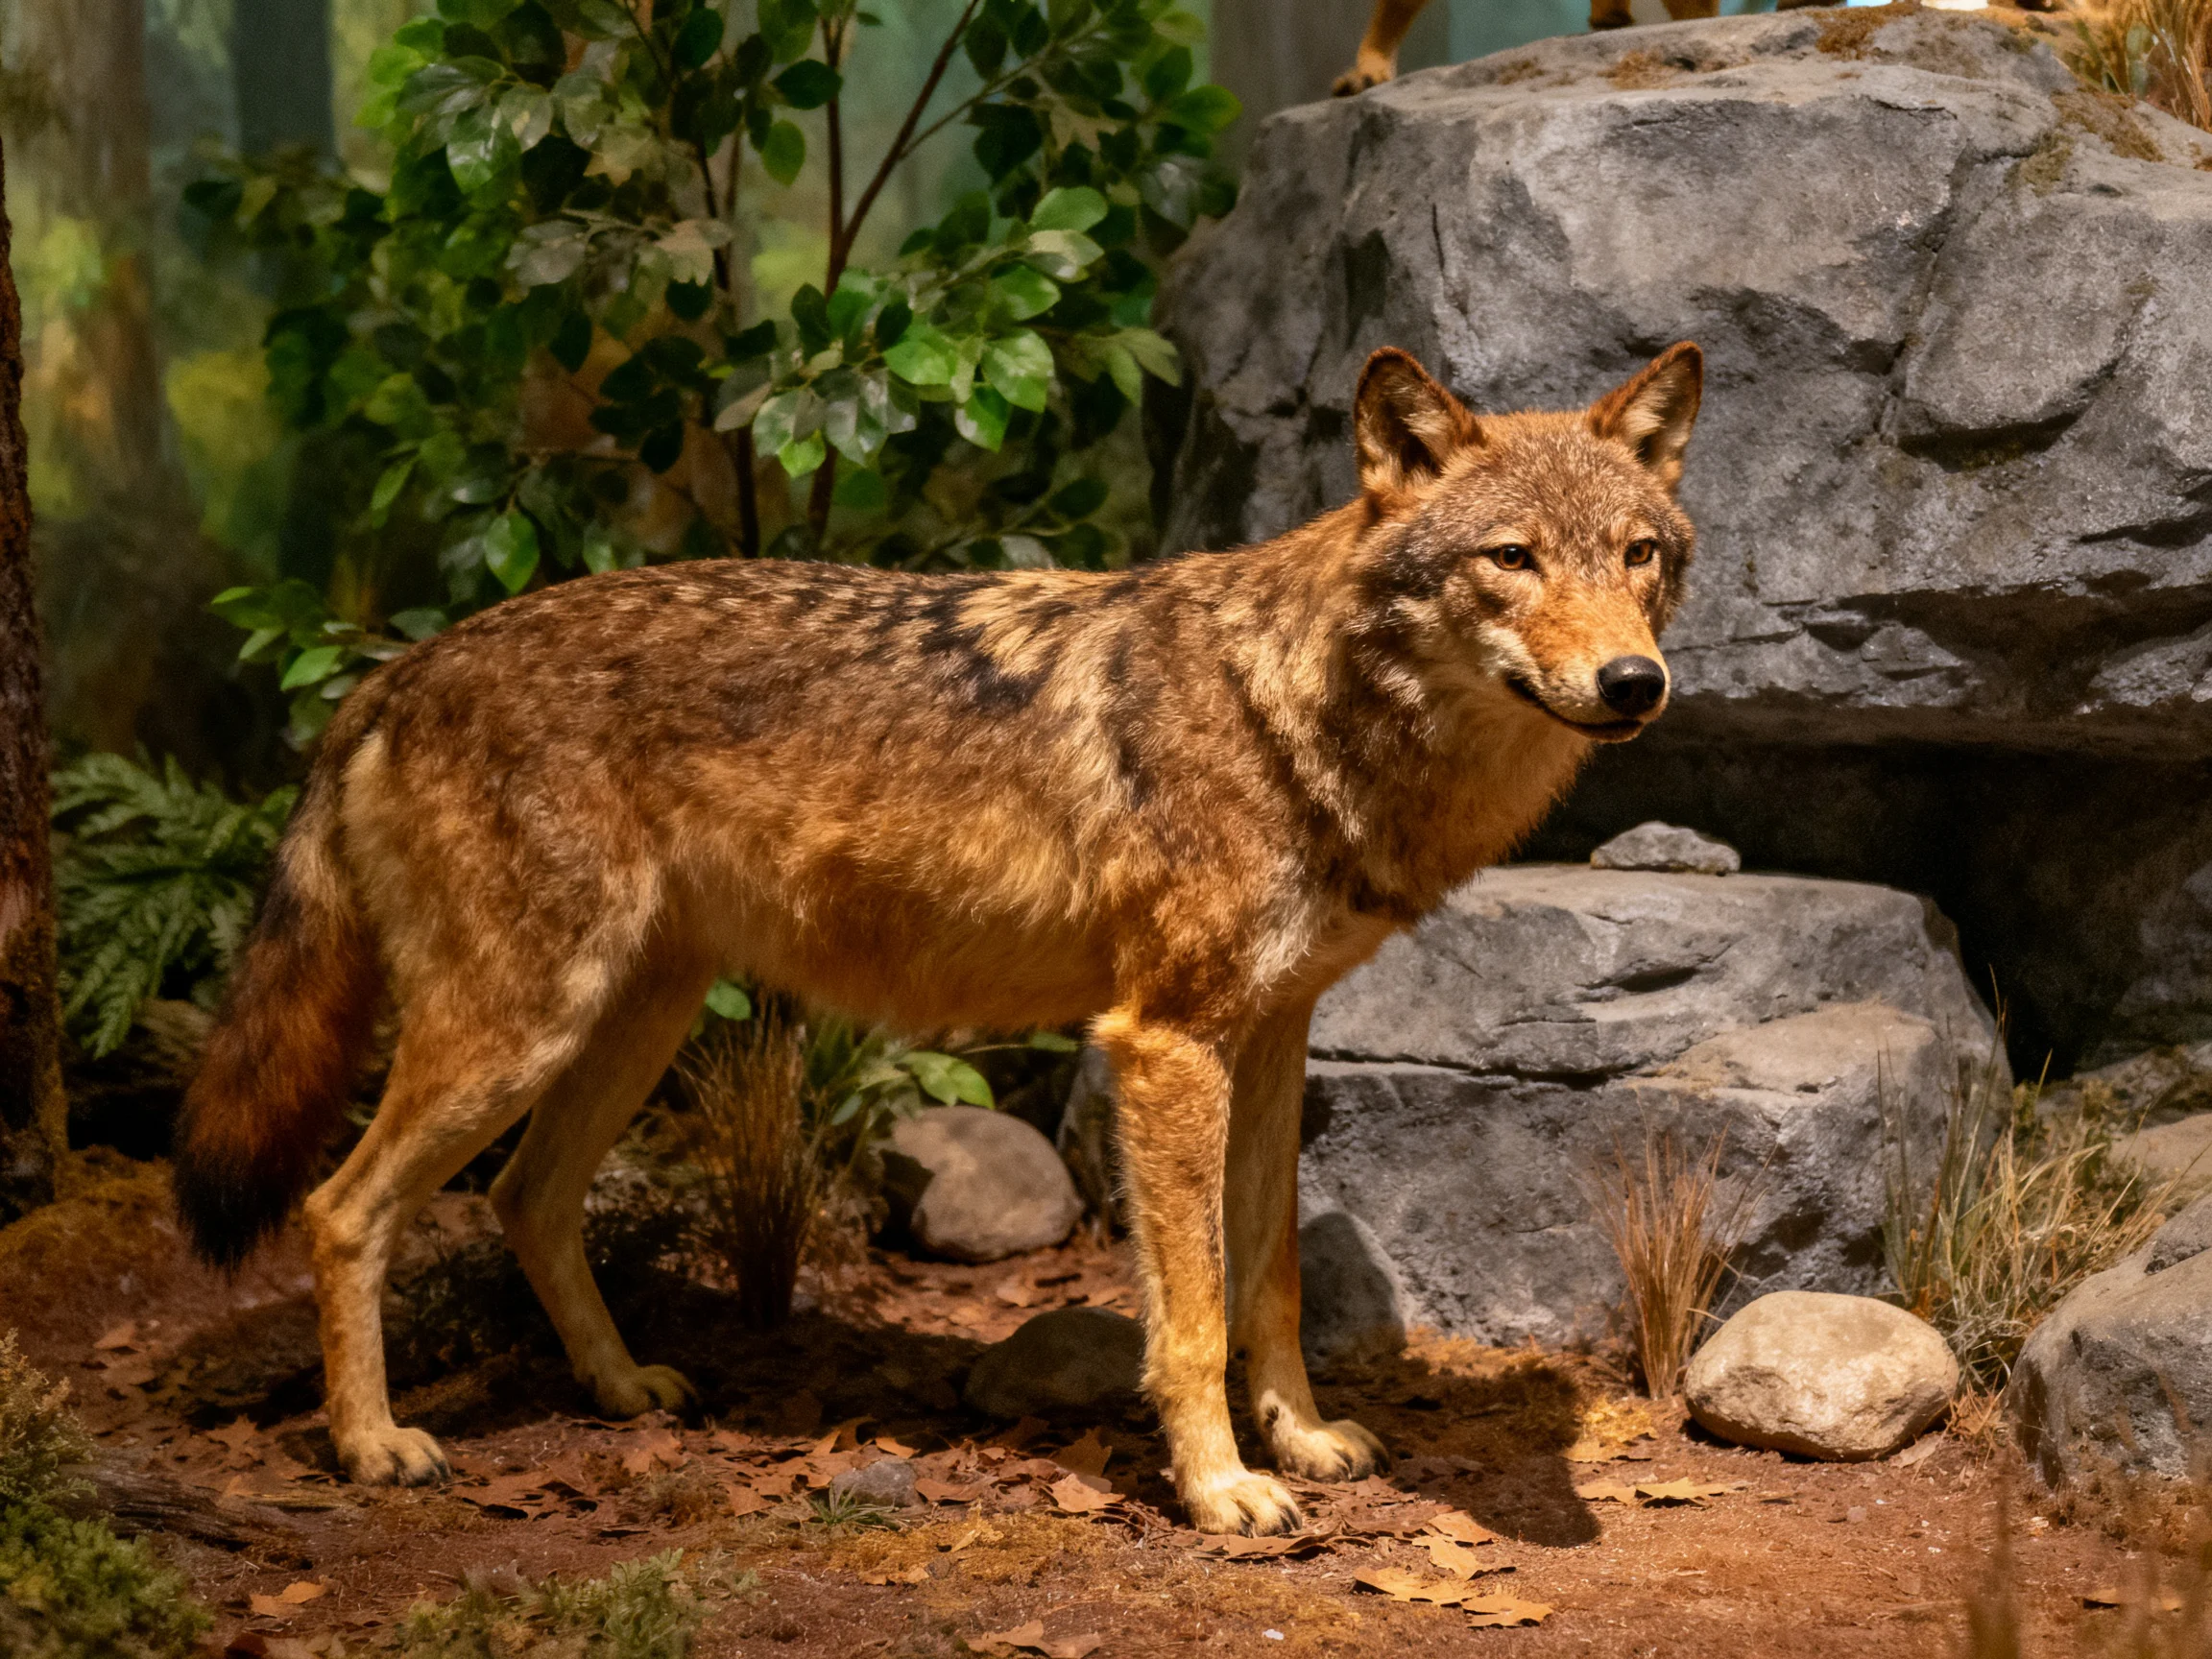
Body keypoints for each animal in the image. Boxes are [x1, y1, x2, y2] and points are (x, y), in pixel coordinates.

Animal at [173, 341, 1702, 1536]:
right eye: (1511, 560)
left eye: (1637, 556)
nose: (1637, 682)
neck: (1302, 714)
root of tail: (391, 671)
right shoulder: (1163, 1044)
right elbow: (1191, 1313)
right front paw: (1220, 1490)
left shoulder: (1269, 1039)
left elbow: (1264, 1274)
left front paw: (1305, 1440)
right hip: (519, 1032)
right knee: (340, 1208)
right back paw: (372, 1447)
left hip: (626, 1024)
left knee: (524, 1202)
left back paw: (620, 1393)